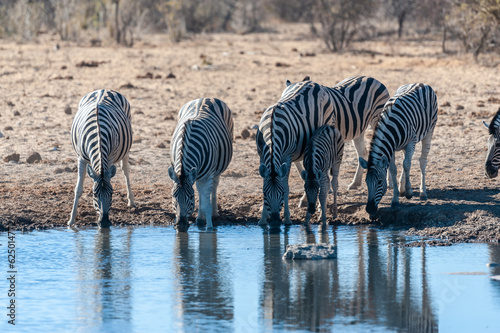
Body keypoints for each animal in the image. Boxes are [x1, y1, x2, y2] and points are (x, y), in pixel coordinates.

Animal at [68, 89, 136, 227]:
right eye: (94, 194)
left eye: (112, 193)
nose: (104, 223)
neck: (98, 135)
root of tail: (104, 89)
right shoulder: (81, 158)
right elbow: (78, 189)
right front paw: (71, 220)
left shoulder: (110, 157)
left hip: (126, 147)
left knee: (125, 170)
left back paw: (131, 201)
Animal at [167, 96, 231, 231]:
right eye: (173, 196)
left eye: (191, 197)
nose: (180, 225)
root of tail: (206, 97)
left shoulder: (207, 176)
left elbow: (206, 204)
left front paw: (210, 229)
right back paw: (200, 219)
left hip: (215, 170)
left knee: (213, 188)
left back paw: (213, 213)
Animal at [258, 79, 336, 230]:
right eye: (265, 194)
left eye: (281, 193)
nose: (275, 223)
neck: (271, 129)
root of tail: (312, 82)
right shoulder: (261, 155)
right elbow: (264, 181)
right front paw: (263, 219)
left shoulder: (287, 157)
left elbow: (286, 185)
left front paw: (287, 219)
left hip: (326, 127)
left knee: (324, 180)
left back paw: (320, 208)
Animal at [360, 83, 438, 215]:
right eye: (366, 181)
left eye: (380, 182)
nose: (369, 209)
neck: (391, 126)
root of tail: (420, 83)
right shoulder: (391, 148)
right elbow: (393, 169)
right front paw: (395, 199)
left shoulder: (411, 142)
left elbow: (406, 164)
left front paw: (408, 192)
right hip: (404, 145)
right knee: (406, 160)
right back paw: (402, 188)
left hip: (429, 131)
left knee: (422, 161)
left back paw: (422, 192)